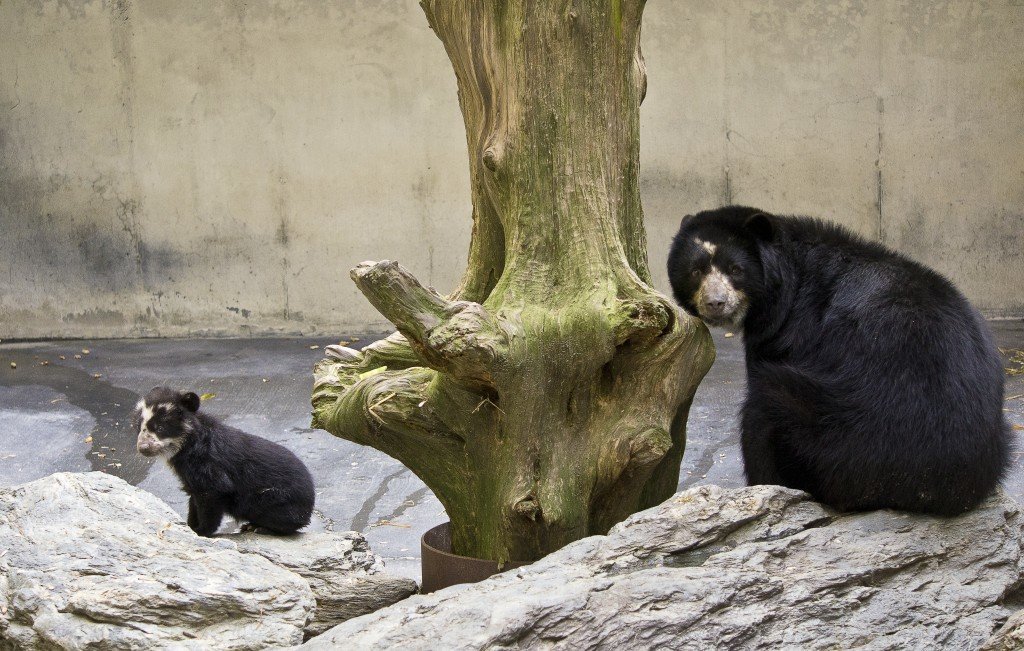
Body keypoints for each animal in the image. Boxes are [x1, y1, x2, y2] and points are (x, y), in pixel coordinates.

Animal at [135, 386, 315, 532]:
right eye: (139, 427)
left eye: (160, 427)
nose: (143, 447)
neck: (187, 446)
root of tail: (309, 504)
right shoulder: (191, 479)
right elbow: (194, 501)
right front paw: (190, 525)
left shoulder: (207, 467)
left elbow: (214, 493)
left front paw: (201, 531)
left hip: (273, 500)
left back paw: (258, 527)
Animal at [667, 205, 1011, 515]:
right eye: (696, 271)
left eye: (735, 270)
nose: (715, 303)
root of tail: (941, 489)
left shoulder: (790, 329)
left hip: (842, 440)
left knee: (765, 407)